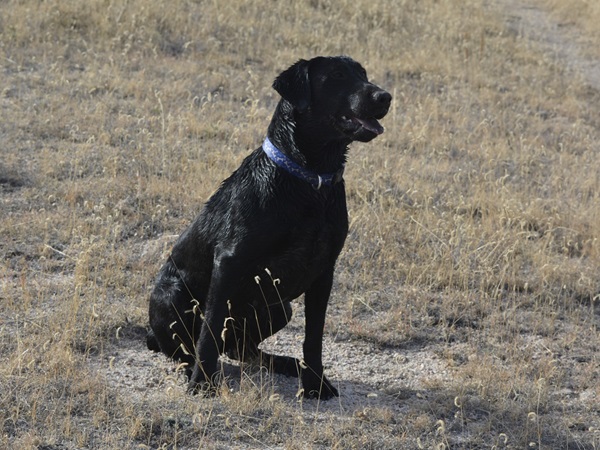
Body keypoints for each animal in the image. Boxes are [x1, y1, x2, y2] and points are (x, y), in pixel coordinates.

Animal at [148, 57, 392, 400]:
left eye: (363, 74)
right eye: (337, 76)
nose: (385, 97)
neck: (310, 182)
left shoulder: (324, 271)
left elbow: (313, 338)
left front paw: (315, 384)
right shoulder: (228, 262)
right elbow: (209, 331)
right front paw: (202, 383)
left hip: (280, 307)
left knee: (242, 348)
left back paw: (286, 364)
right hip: (172, 295)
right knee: (187, 349)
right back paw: (192, 370)